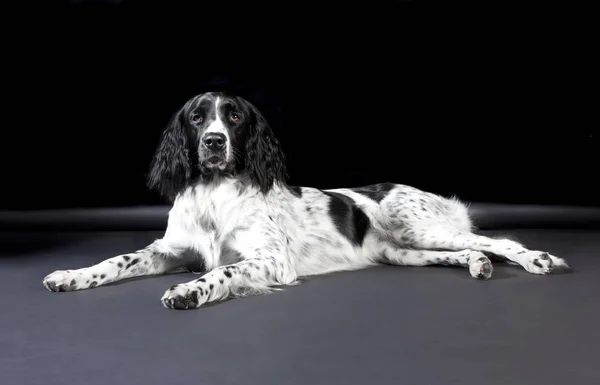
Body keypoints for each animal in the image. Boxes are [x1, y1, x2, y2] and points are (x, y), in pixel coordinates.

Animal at [43, 91, 572, 308]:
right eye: (196, 117)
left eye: (234, 116)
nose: (213, 141)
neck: (216, 195)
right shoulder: (172, 250)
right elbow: (116, 259)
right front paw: (71, 275)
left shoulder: (272, 260)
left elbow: (223, 272)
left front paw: (189, 291)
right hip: (403, 250)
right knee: (471, 250)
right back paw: (477, 266)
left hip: (420, 225)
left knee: (499, 241)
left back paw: (540, 259)